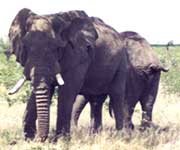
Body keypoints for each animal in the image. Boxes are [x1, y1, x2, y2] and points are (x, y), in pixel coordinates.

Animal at [8, 8, 129, 142]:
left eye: (56, 48)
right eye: (26, 47)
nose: (41, 138)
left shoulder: (79, 55)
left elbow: (67, 90)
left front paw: (61, 140)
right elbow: (45, 89)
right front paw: (29, 139)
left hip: (121, 63)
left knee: (116, 95)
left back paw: (120, 137)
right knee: (96, 101)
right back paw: (95, 136)